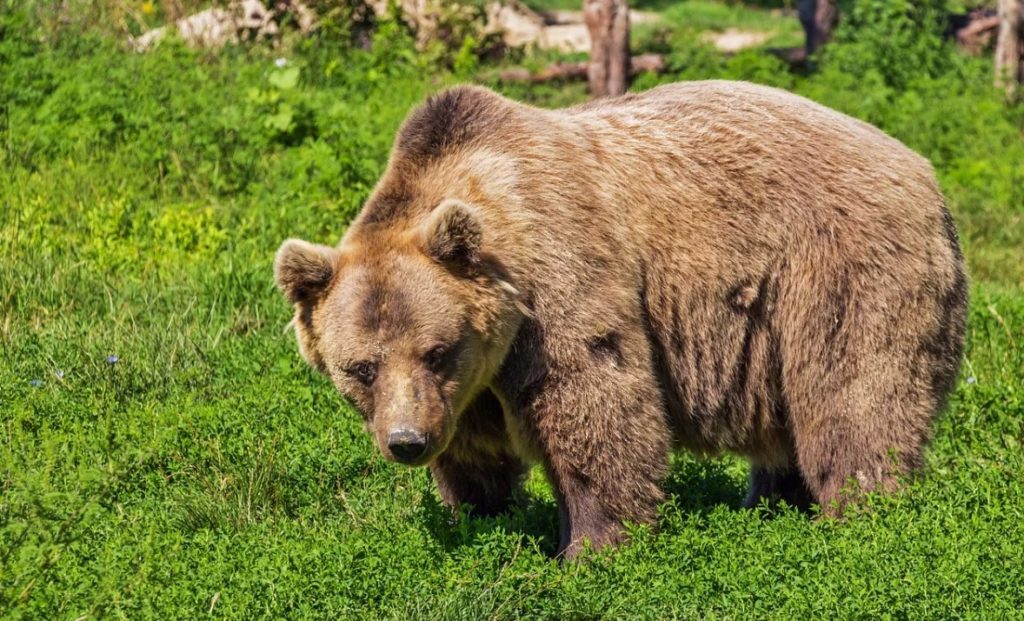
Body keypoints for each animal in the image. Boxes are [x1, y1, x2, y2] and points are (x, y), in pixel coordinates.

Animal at [274, 78, 966, 561]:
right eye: (360, 368)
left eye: (436, 350)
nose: (407, 442)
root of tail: (926, 173)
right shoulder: (468, 386)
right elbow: (474, 451)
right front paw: (482, 516)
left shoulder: (557, 284)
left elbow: (596, 404)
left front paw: (589, 548)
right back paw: (772, 504)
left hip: (838, 269)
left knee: (853, 397)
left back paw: (859, 516)